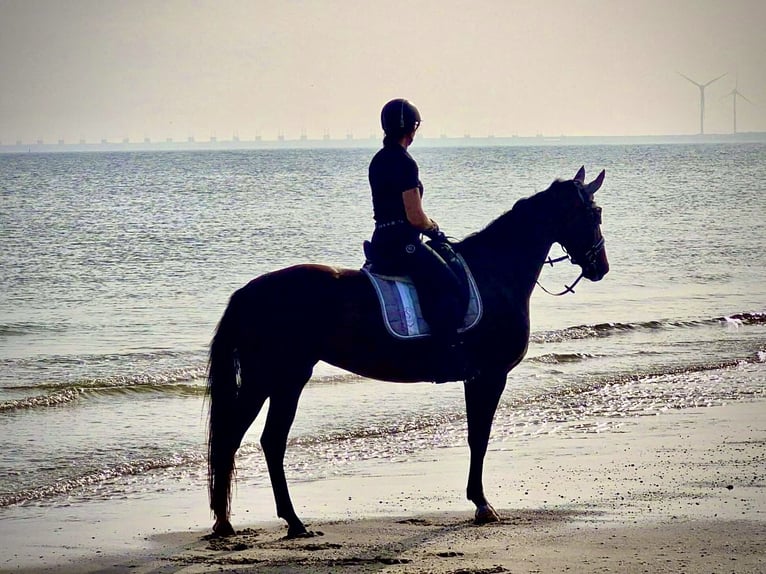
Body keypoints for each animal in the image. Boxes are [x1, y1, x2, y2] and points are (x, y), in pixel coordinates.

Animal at [207, 166, 609, 538]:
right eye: (595, 214)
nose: (600, 267)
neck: (496, 273)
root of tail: (248, 293)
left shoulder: (479, 378)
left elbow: (475, 434)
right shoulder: (490, 375)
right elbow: (479, 436)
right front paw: (482, 504)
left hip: (283, 379)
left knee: (264, 440)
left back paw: (268, 522)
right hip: (274, 377)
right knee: (242, 437)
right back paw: (255, 521)